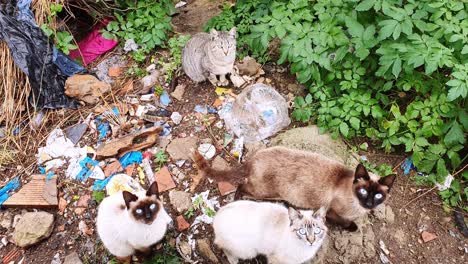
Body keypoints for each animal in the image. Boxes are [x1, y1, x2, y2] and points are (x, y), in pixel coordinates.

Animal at [193, 146, 394, 231]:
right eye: (363, 191)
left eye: (378, 196)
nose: (369, 203)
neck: (356, 207)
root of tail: (252, 159)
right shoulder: (331, 212)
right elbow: (344, 222)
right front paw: (352, 227)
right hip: (265, 193)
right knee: (242, 186)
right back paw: (237, 201)